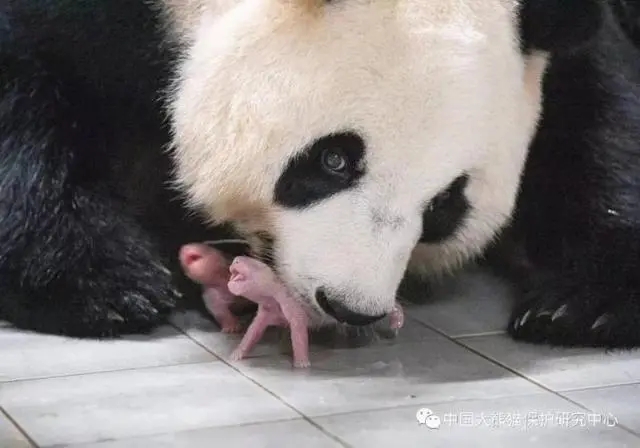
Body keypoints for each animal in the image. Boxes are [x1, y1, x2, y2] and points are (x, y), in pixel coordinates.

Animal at [0, 0, 636, 350]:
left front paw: (581, 306)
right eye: (333, 160)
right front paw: (105, 284)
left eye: (445, 206)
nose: (350, 306)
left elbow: (599, 112)